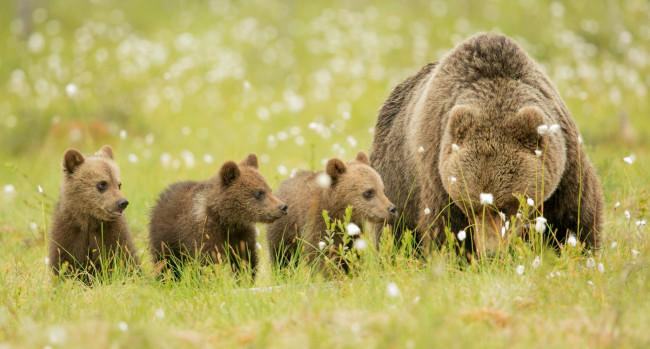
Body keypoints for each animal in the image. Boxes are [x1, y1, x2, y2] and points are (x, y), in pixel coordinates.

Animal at [370, 33, 604, 256]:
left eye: (508, 207)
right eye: (470, 206)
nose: (491, 252)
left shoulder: (565, 164)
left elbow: (574, 216)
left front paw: (576, 248)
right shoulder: (437, 170)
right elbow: (444, 227)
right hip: (396, 174)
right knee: (394, 227)